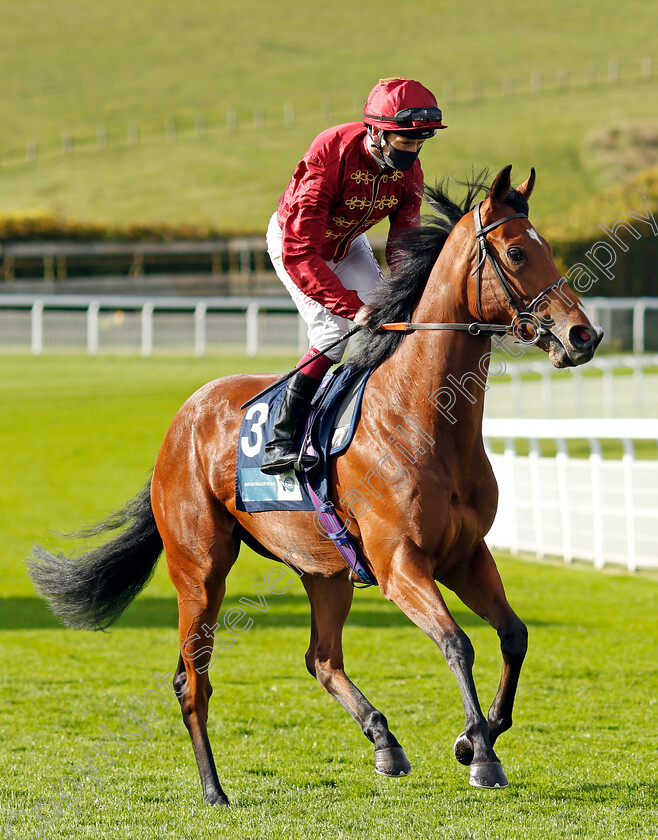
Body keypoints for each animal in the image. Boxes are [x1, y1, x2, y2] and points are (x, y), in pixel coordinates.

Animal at [29, 166, 600, 808]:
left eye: (549, 248)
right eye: (518, 251)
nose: (584, 335)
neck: (422, 418)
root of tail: (181, 420)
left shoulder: (465, 555)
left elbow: (514, 636)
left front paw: (474, 737)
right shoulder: (400, 562)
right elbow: (458, 642)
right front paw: (481, 754)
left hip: (324, 569)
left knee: (321, 658)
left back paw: (385, 742)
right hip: (200, 571)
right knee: (193, 681)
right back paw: (214, 789)